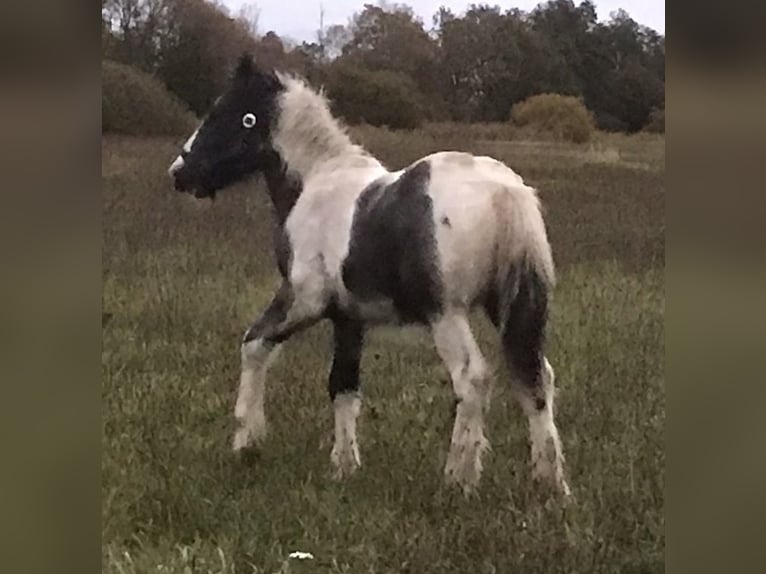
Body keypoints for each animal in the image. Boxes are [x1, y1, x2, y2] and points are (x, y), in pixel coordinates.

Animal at [171, 53, 572, 496]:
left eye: (223, 114)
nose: (179, 173)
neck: (315, 184)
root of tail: (504, 192)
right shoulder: (348, 316)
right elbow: (343, 386)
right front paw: (344, 466)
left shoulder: (304, 300)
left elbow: (254, 345)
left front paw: (247, 442)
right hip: (510, 307)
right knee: (537, 378)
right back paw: (551, 485)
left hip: (446, 314)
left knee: (473, 378)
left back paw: (458, 480)